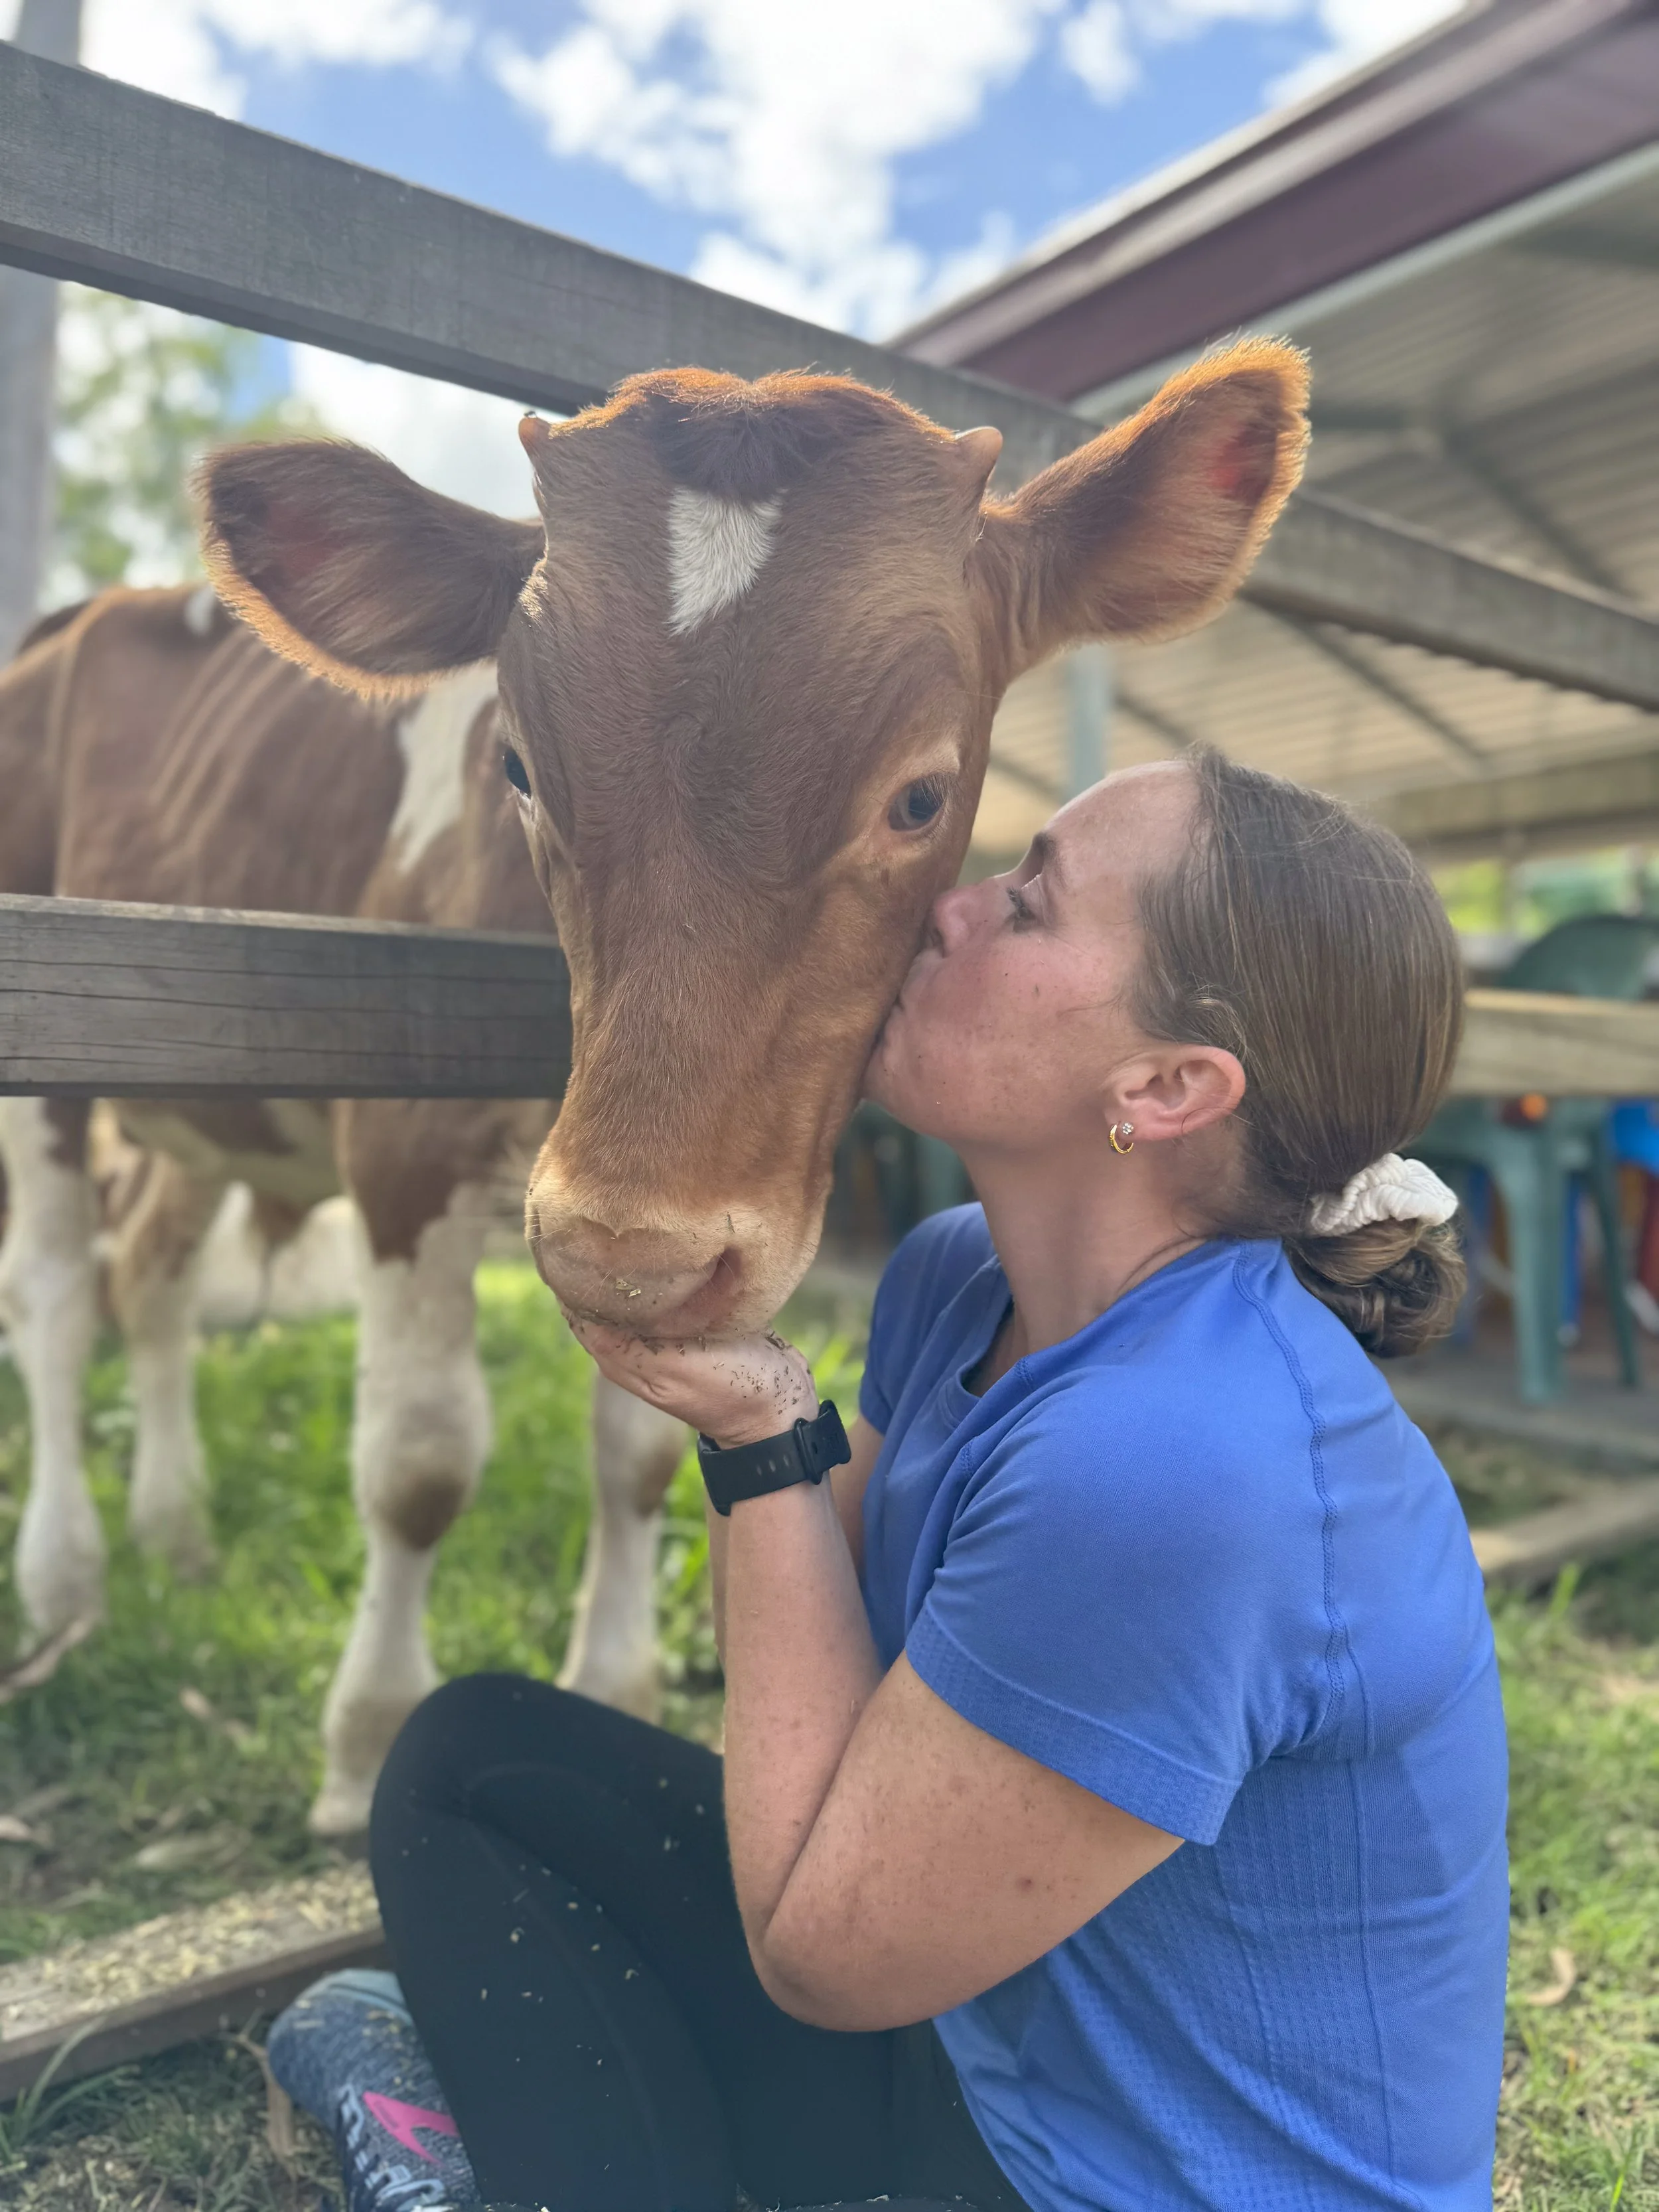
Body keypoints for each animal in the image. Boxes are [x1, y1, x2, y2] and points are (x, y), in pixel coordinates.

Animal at [0, 341, 1309, 1832]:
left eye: (919, 798)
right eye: (518, 768)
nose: (624, 1254)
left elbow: (631, 1455)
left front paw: (613, 1678)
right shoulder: (400, 1149)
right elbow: (418, 1463)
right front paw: (368, 1735)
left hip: (206, 1112)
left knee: (152, 1274)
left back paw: (177, 1534)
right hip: (51, 1043)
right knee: (58, 1298)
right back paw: (67, 1581)